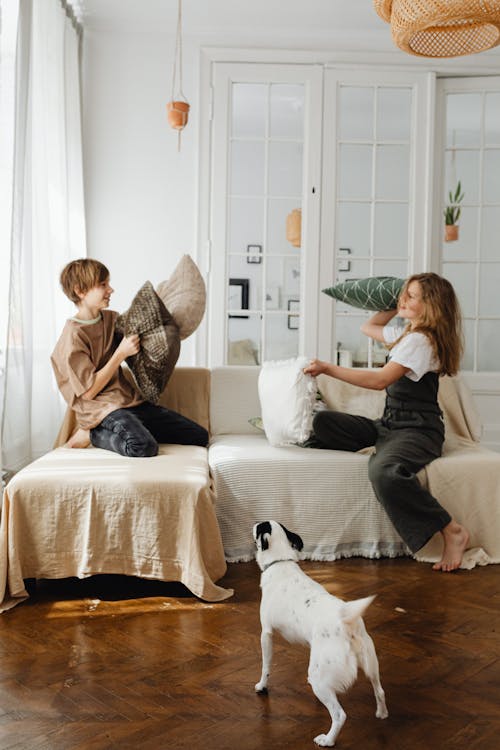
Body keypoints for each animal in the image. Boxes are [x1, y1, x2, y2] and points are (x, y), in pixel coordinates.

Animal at [252, 524, 388, 748]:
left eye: (259, 526)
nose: (252, 525)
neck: (281, 562)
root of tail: (346, 621)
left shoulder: (266, 633)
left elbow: (266, 666)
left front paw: (262, 686)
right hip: (371, 665)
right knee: (380, 690)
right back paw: (382, 713)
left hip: (319, 679)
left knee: (340, 715)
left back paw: (327, 740)